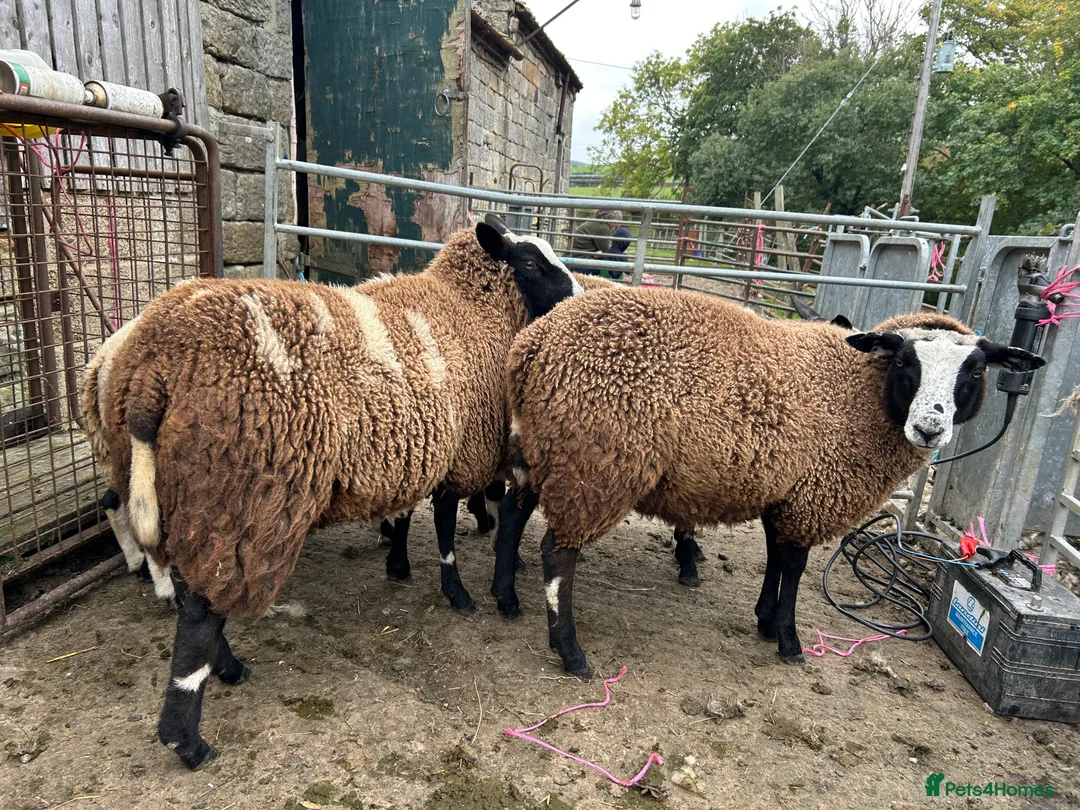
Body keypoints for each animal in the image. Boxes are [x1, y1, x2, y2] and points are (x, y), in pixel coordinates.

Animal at [80, 215, 581, 769]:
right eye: (531, 262)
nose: (581, 297)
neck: (469, 306)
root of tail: (151, 368)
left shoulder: (413, 445)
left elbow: (408, 513)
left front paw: (398, 563)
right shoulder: (462, 445)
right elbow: (446, 523)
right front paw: (457, 592)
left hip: (175, 486)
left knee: (199, 588)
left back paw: (225, 667)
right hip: (239, 492)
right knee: (199, 612)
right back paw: (188, 738)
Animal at [488, 286, 1046, 678]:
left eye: (976, 371)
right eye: (906, 361)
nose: (929, 427)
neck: (857, 392)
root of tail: (533, 345)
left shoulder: (790, 494)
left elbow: (778, 557)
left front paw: (763, 618)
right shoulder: (814, 492)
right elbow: (795, 568)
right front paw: (789, 641)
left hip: (546, 449)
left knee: (513, 515)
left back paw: (506, 598)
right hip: (596, 462)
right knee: (557, 553)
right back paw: (570, 653)